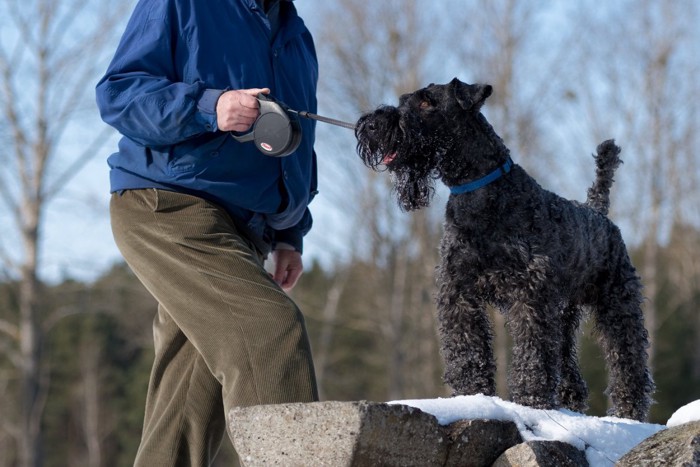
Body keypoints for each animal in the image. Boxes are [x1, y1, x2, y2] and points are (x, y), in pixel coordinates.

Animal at [356, 78, 656, 422]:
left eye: (426, 103)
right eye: (404, 99)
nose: (372, 124)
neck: (480, 196)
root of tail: (598, 212)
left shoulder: (529, 295)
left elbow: (532, 353)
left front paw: (530, 400)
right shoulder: (458, 292)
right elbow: (467, 349)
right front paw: (471, 395)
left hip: (617, 304)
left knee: (627, 358)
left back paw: (629, 410)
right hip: (564, 312)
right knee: (566, 359)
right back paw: (569, 400)